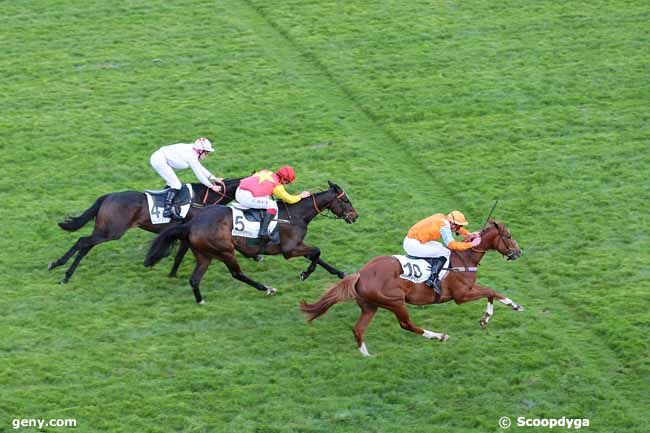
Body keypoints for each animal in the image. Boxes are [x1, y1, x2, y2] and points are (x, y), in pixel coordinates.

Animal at [48, 177, 240, 282]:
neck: (203, 199)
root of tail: (108, 196)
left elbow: (178, 255)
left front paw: (171, 273)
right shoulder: (187, 234)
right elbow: (178, 256)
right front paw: (172, 274)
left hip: (103, 229)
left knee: (85, 245)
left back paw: (63, 271)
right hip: (112, 232)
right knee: (83, 242)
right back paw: (61, 269)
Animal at [143, 181, 360, 302]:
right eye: (346, 200)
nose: (355, 216)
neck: (296, 214)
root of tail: (192, 224)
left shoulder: (296, 245)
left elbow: (317, 255)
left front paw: (340, 273)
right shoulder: (289, 249)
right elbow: (316, 251)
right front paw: (305, 274)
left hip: (205, 254)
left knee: (195, 279)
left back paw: (200, 301)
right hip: (225, 251)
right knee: (237, 274)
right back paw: (267, 288)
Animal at [300, 219, 520, 354]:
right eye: (508, 236)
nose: (518, 252)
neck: (464, 258)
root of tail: (361, 274)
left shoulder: (466, 291)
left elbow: (490, 292)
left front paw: (487, 318)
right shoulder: (461, 295)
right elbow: (491, 291)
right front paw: (511, 306)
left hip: (370, 306)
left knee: (358, 329)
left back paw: (366, 355)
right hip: (396, 301)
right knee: (407, 324)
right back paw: (439, 336)